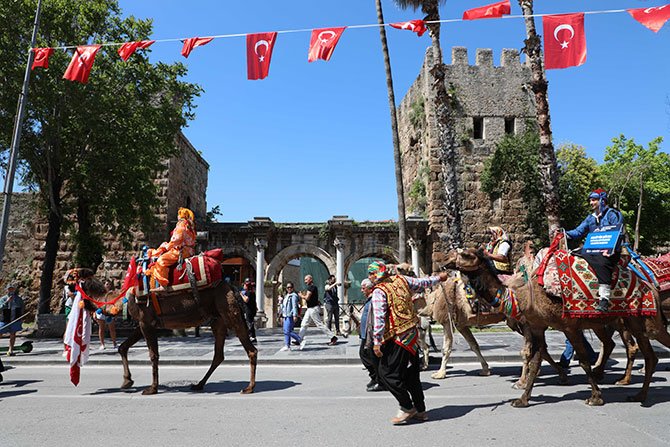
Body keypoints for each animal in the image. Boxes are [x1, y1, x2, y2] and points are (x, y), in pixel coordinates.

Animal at [103, 280, 258, 396]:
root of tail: (231, 287)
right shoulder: (144, 324)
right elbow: (123, 347)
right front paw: (126, 381)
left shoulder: (145, 322)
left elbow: (153, 355)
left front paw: (152, 388)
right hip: (218, 320)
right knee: (218, 354)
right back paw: (199, 384)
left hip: (229, 312)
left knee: (251, 349)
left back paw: (249, 388)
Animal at [440, 248, 670, 410]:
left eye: (466, 253)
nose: (444, 261)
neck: (523, 296)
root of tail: (650, 286)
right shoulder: (537, 326)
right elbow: (536, 360)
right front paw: (522, 399)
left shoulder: (569, 326)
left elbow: (583, 360)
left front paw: (595, 397)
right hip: (632, 323)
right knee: (647, 355)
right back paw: (638, 394)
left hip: (645, 321)